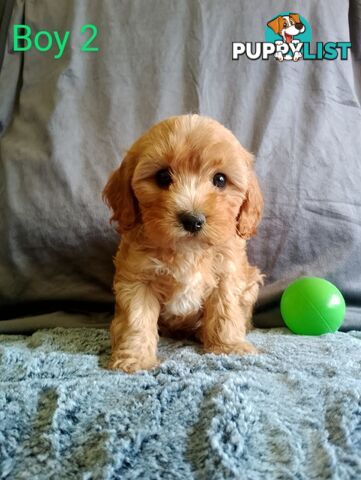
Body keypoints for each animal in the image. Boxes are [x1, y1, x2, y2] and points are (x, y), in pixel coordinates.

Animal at [102, 114, 262, 374]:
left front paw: (228, 347)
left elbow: (225, 313)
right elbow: (136, 320)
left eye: (220, 179)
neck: (188, 251)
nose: (192, 220)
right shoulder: (137, 279)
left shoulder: (227, 274)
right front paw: (134, 360)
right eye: (163, 177)